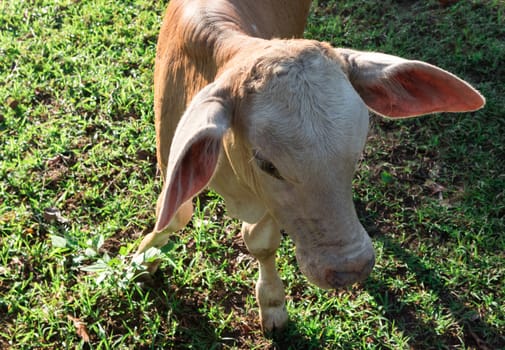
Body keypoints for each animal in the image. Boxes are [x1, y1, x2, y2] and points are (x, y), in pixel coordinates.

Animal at [134, 0, 484, 330]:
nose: (349, 268)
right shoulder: (169, 156)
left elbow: (261, 243)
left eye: (357, 152)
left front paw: (272, 303)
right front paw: (145, 257)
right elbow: (174, 214)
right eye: (266, 163)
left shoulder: (268, 206)